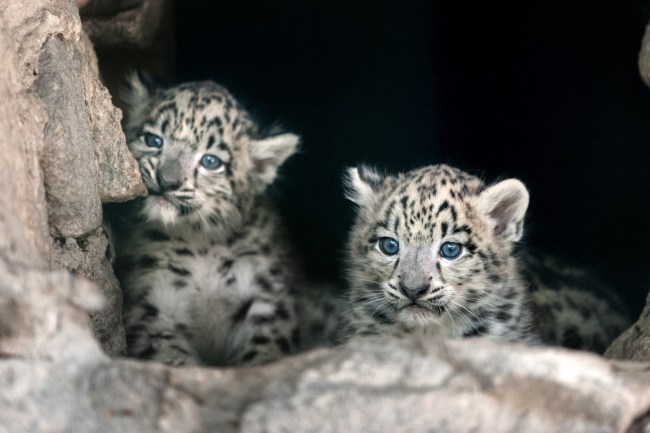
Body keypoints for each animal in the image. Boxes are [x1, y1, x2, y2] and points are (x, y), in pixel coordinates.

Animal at [108, 72, 301, 367]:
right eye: (153, 140)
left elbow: (265, 350)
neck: (201, 245)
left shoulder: (266, 300)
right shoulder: (154, 307)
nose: (167, 181)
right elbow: (172, 357)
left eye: (211, 161)